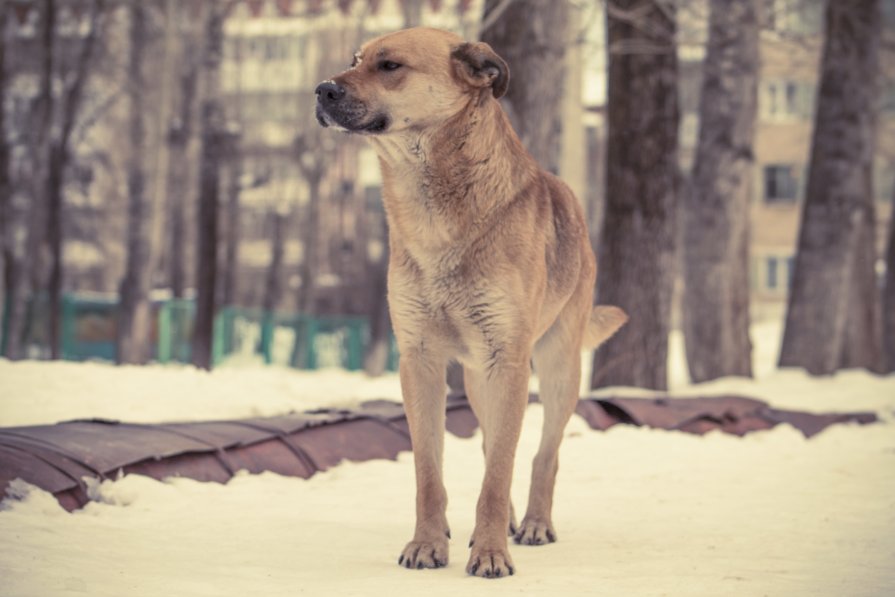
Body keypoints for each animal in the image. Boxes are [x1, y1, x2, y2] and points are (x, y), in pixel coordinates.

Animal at [318, 29, 628, 576]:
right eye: (354, 60)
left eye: (390, 65)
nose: (321, 90)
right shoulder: (419, 360)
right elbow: (430, 470)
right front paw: (427, 543)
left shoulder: (509, 362)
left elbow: (501, 470)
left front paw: (489, 552)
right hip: (479, 381)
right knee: (490, 445)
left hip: (555, 369)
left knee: (542, 453)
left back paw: (533, 523)